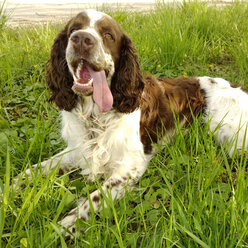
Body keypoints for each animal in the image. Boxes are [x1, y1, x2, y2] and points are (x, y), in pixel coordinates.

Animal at [12, 8, 248, 236]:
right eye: (73, 29)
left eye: (108, 35)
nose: (81, 39)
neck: (96, 116)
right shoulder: (77, 151)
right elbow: (34, 169)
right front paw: (10, 188)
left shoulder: (130, 166)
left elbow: (91, 200)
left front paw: (63, 228)